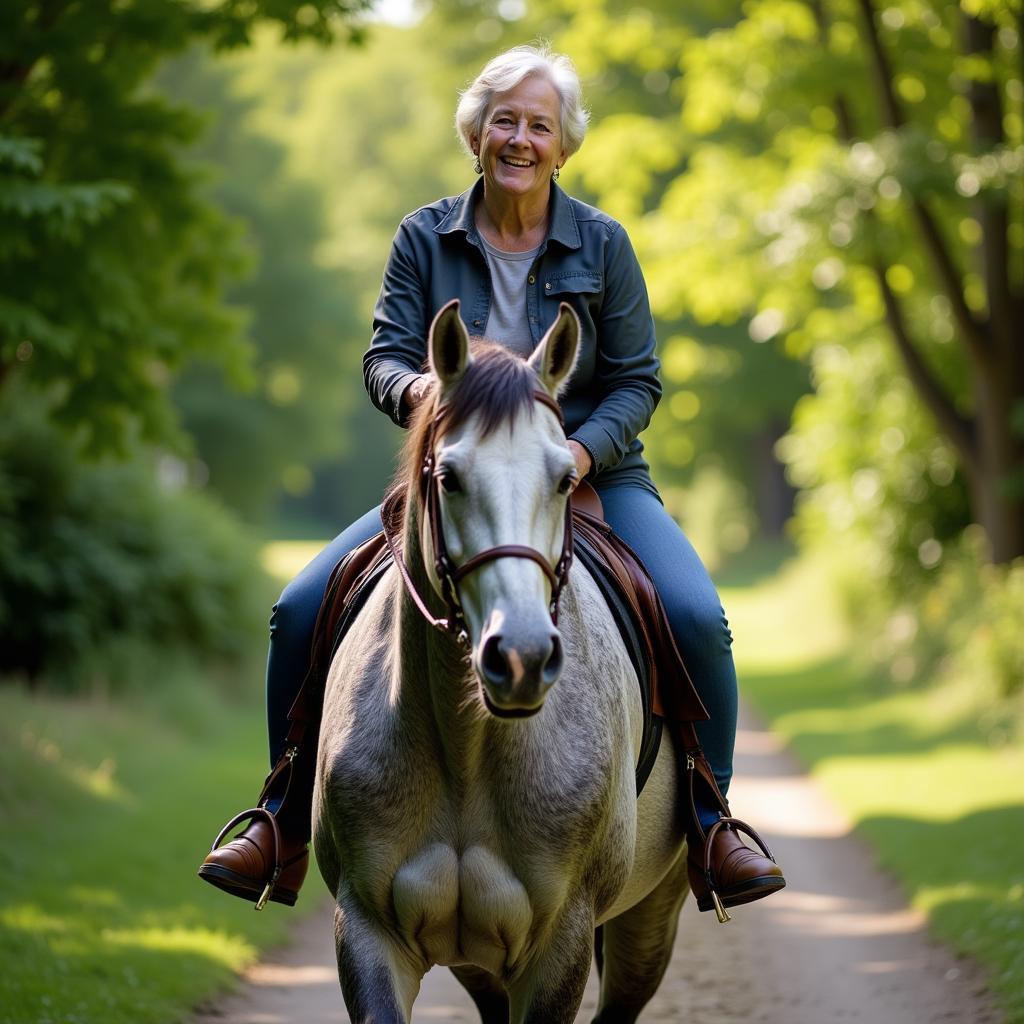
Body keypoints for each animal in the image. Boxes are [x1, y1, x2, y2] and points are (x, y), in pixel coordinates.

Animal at [313, 299, 688, 1019]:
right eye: (449, 478)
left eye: (564, 478)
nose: (521, 657)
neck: (467, 745)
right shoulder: (367, 932)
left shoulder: (561, 946)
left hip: (653, 914)